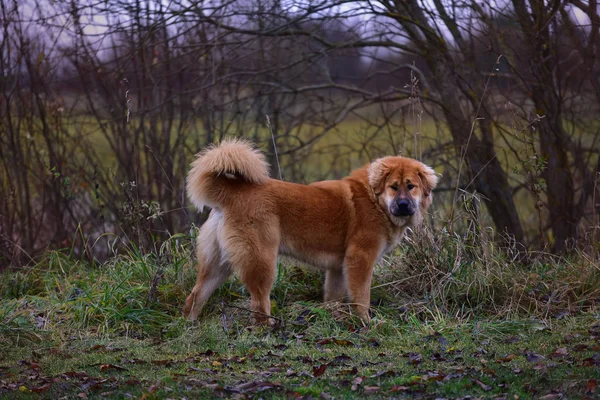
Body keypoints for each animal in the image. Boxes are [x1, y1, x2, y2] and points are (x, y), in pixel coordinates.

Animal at [183, 139, 436, 324]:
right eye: (394, 187)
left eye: (411, 186)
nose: (403, 205)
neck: (376, 201)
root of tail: (232, 192)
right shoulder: (360, 259)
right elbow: (362, 296)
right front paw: (366, 322)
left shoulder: (338, 268)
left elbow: (334, 297)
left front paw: (335, 318)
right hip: (261, 261)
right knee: (259, 302)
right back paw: (268, 327)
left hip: (217, 264)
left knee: (195, 295)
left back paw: (190, 326)